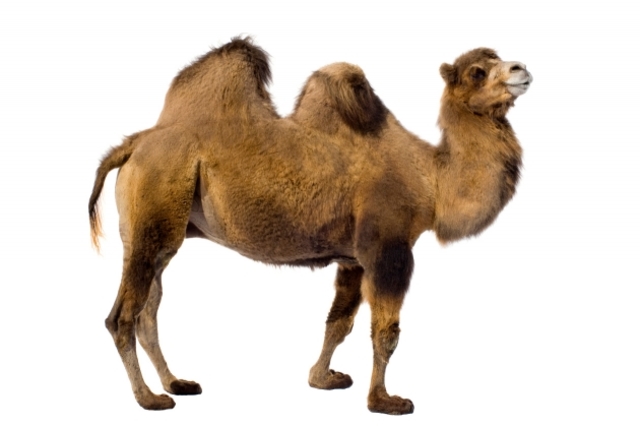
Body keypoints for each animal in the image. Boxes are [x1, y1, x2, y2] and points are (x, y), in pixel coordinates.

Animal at [88, 38, 532, 415]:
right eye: (477, 71)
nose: (521, 68)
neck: (431, 180)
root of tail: (132, 145)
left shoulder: (354, 257)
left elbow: (339, 323)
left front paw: (322, 378)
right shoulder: (388, 248)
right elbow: (386, 332)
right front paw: (383, 401)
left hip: (157, 231)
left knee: (148, 311)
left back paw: (176, 383)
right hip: (156, 204)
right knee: (122, 317)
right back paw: (149, 398)